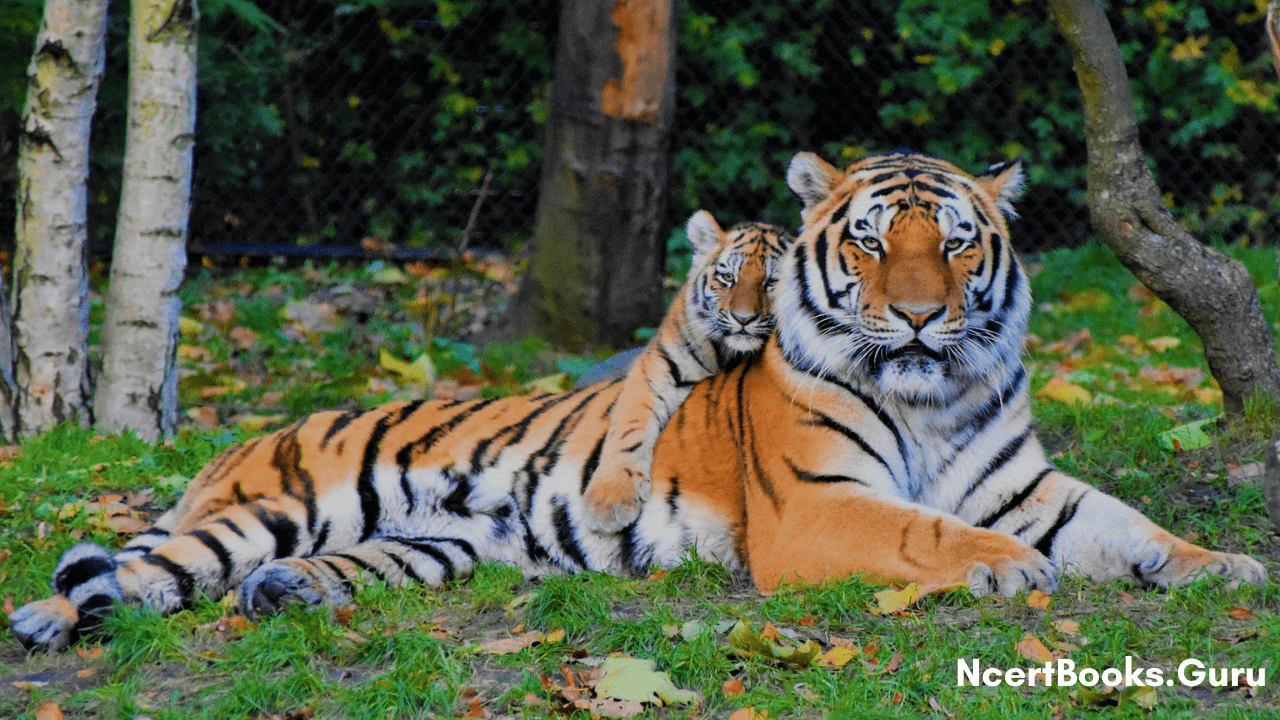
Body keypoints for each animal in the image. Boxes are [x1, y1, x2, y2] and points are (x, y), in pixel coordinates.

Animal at [12, 149, 1269, 650]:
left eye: (956, 245)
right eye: (871, 243)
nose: (917, 317)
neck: (932, 395)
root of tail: (245, 446)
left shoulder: (1025, 483)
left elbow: (1131, 526)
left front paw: (1226, 566)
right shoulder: (817, 506)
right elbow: (925, 529)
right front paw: (1005, 569)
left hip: (433, 546)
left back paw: (284, 596)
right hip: (274, 507)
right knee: (141, 571)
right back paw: (45, 622)